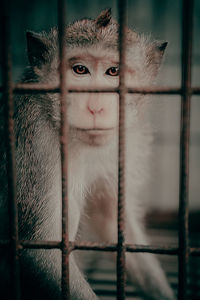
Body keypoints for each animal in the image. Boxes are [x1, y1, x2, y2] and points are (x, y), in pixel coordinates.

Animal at [0, 9, 175, 300]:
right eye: (80, 69)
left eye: (113, 71)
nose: (96, 107)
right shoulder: (34, 142)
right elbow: (42, 250)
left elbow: (112, 219)